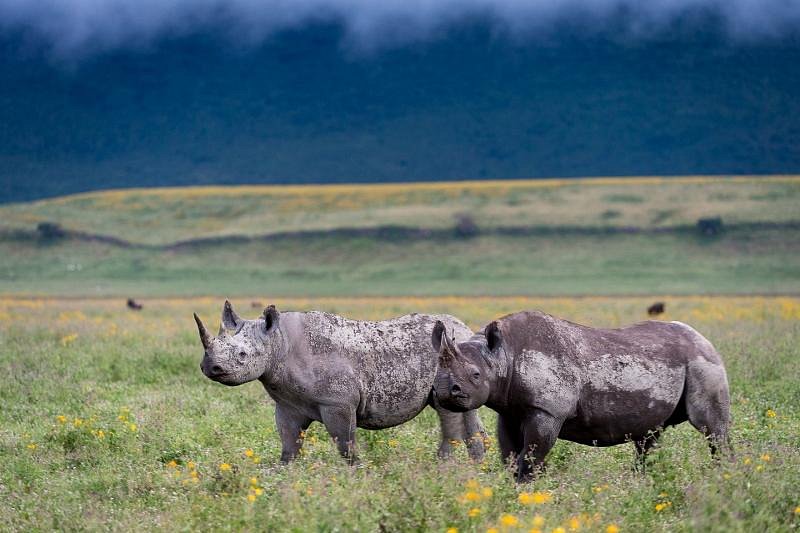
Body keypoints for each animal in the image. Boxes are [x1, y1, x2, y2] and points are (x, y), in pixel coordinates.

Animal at [194, 301, 486, 464]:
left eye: (242, 355)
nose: (211, 368)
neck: (278, 341)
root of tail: (467, 330)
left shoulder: (337, 403)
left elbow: (345, 445)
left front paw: (358, 477)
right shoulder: (287, 405)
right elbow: (289, 446)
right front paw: (285, 478)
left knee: (448, 412)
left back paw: (441, 467)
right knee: (466, 413)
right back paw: (478, 471)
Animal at [432, 310, 731, 482]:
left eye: (476, 375)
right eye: (437, 370)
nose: (445, 390)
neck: (502, 355)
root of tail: (703, 338)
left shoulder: (547, 411)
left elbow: (531, 457)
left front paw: (526, 492)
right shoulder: (509, 410)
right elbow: (510, 456)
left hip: (703, 361)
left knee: (712, 428)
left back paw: (725, 476)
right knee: (648, 436)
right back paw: (641, 482)